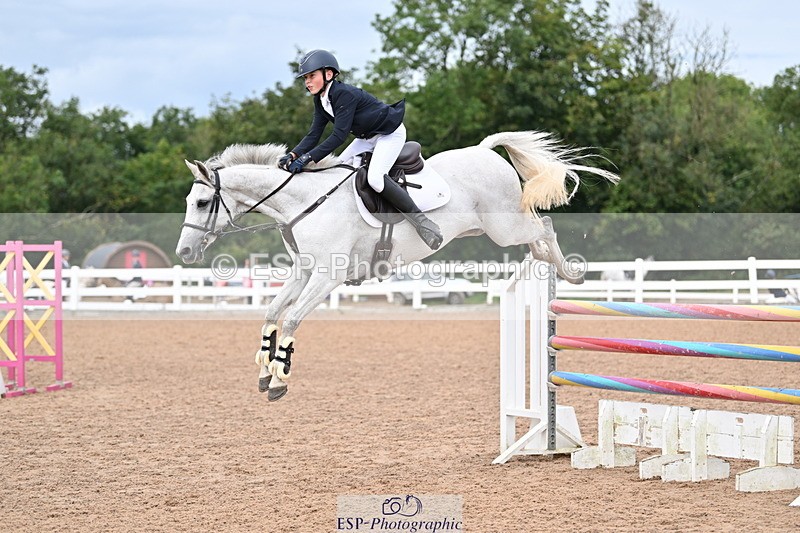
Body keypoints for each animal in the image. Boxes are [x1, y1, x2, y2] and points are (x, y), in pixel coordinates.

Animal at [176, 131, 619, 401]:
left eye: (202, 202)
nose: (184, 253)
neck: (303, 203)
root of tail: (484, 149)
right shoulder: (303, 271)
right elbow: (272, 311)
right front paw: (265, 370)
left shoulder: (328, 276)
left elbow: (293, 319)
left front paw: (280, 378)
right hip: (491, 228)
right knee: (538, 236)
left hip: (505, 226)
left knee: (544, 227)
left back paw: (570, 272)